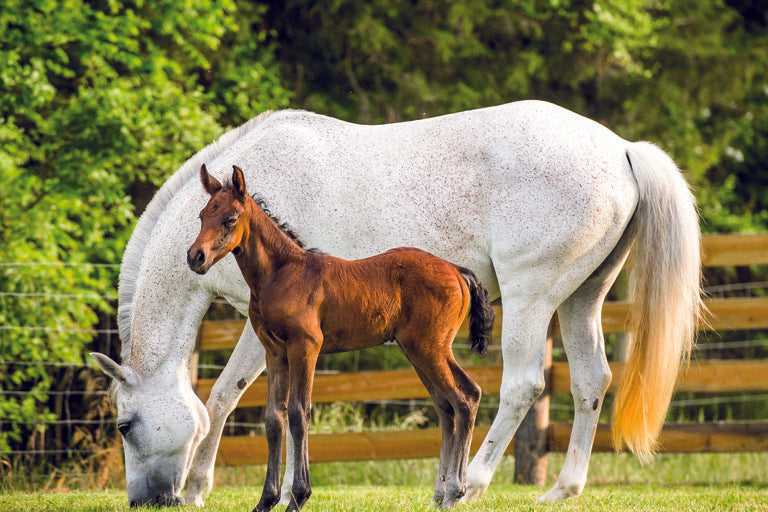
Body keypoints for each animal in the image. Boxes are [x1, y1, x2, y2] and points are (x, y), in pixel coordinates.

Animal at [189, 166, 496, 510]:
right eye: (202, 215)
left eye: (230, 219)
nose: (195, 257)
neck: (280, 274)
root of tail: (456, 270)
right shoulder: (274, 352)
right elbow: (273, 418)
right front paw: (266, 500)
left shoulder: (305, 347)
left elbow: (298, 413)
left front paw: (298, 496)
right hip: (419, 351)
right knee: (447, 407)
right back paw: (440, 495)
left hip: (431, 348)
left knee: (465, 397)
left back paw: (454, 492)